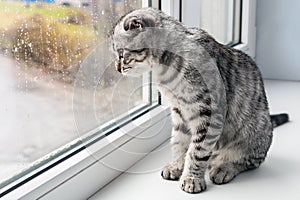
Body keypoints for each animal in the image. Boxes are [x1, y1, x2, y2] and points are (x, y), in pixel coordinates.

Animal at [109, 7, 288, 194]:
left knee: (247, 159)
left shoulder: (209, 113)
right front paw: (177, 166)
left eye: (121, 54)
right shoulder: (179, 111)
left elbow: (197, 151)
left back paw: (224, 167)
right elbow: (179, 142)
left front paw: (192, 178)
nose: (117, 68)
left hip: (254, 133)